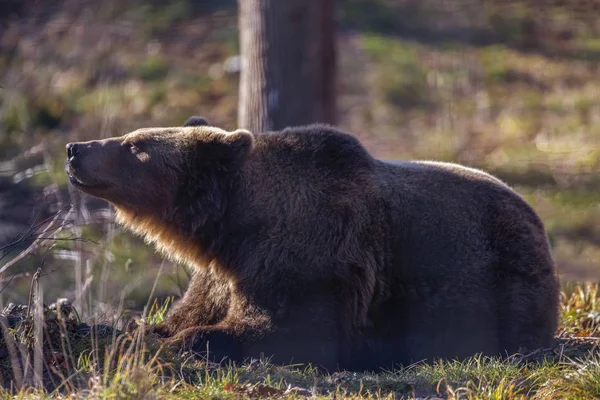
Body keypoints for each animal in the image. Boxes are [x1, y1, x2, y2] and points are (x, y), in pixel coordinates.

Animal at [64, 118, 556, 372]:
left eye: (136, 146)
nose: (75, 148)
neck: (233, 225)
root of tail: (535, 219)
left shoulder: (308, 255)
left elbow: (286, 328)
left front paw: (184, 341)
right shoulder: (224, 272)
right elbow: (187, 312)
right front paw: (134, 330)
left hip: (497, 283)